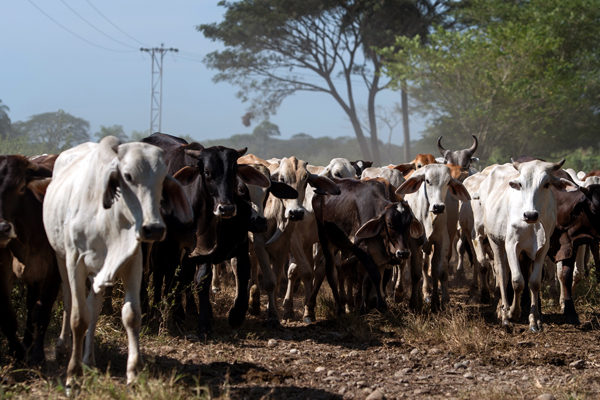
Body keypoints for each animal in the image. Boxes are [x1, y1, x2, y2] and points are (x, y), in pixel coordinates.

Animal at [45, 137, 193, 384]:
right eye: (128, 176)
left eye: (162, 178)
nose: (153, 229)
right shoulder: (75, 262)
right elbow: (78, 317)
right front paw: (73, 373)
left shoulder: (133, 263)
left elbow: (131, 315)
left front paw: (133, 371)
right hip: (60, 257)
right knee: (68, 299)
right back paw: (62, 346)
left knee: (94, 306)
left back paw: (89, 359)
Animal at [482, 159, 572, 332]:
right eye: (521, 184)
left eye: (546, 184)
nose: (530, 215)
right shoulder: (511, 245)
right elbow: (517, 281)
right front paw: (513, 312)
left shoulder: (542, 249)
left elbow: (534, 282)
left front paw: (534, 320)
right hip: (495, 241)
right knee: (502, 274)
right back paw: (504, 314)